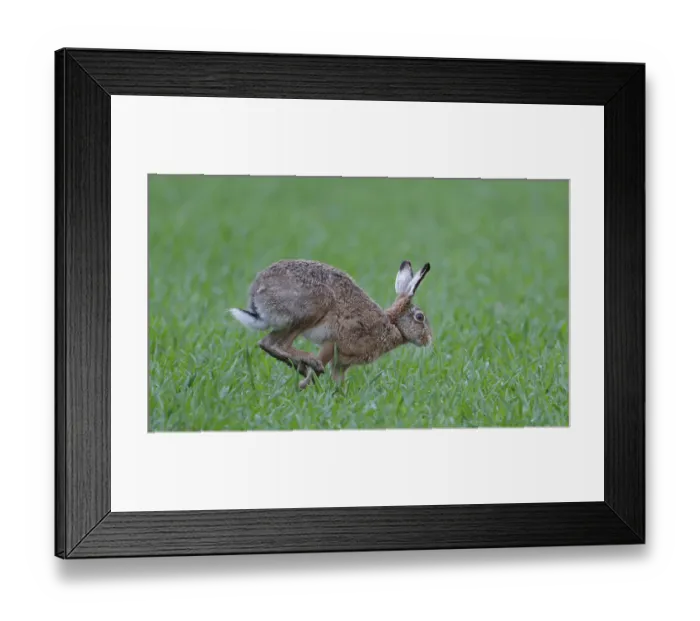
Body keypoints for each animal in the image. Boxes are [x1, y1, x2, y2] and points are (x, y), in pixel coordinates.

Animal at [229, 259, 432, 390]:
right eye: (420, 317)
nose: (429, 340)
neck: (393, 325)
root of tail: (258, 293)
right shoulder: (335, 343)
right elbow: (323, 361)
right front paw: (305, 385)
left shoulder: (341, 364)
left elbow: (338, 383)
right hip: (312, 309)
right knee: (280, 345)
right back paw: (310, 363)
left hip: (287, 323)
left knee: (267, 343)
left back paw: (301, 366)